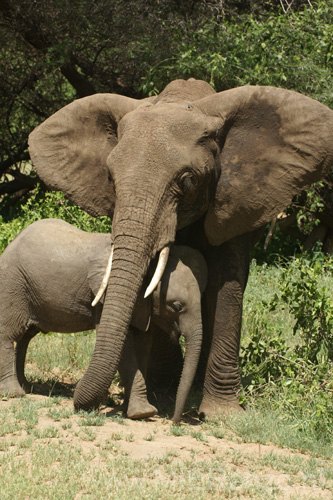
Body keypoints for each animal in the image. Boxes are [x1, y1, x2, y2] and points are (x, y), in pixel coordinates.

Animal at [0, 220, 206, 422]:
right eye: (177, 306)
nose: (173, 421)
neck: (149, 264)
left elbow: (143, 345)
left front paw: (128, 409)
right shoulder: (103, 298)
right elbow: (124, 346)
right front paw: (143, 413)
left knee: (25, 337)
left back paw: (26, 387)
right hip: (13, 283)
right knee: (9, 334)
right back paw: (14, 393)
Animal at [28, 79, 332, 418]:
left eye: (187, 181)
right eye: (110, 178)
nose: (78, 398)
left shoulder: (232, 200)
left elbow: (224, 284)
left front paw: (221, 413)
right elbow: (154, 280)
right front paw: (161, 395)